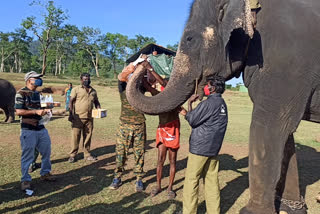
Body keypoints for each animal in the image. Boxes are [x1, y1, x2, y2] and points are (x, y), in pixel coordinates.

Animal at [127, 0, 320, 213]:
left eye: (190, 39)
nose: (143, 62)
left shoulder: (285, 62)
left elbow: (270, 127)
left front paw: (251, 212)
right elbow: (287, 136)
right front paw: (292, 208)